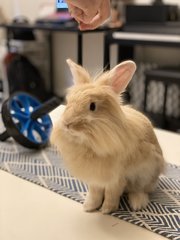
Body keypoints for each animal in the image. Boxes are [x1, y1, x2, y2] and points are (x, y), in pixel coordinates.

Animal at [50, 59, 165, 214]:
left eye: (92, 106)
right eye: (68, 102)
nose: (67, 124)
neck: (90, 145)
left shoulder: (116, 179)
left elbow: (111, 194)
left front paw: (106, 210)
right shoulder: (95, 179)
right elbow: (95, 193)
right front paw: (89, 207)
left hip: (146, 176)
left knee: (141, 190)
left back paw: (137, 203)